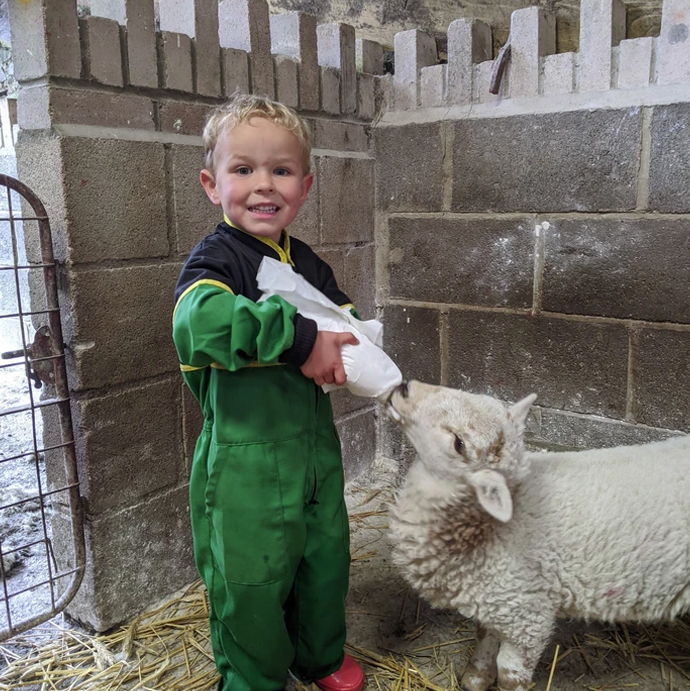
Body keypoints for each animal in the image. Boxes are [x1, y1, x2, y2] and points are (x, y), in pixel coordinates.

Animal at [388, 382, 688, 691]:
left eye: (459, 443)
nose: (404, 387)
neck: (482, 527)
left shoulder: (527, 614)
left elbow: (510, 674)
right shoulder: (496, 597)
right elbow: (485, 635)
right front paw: (476, 676)